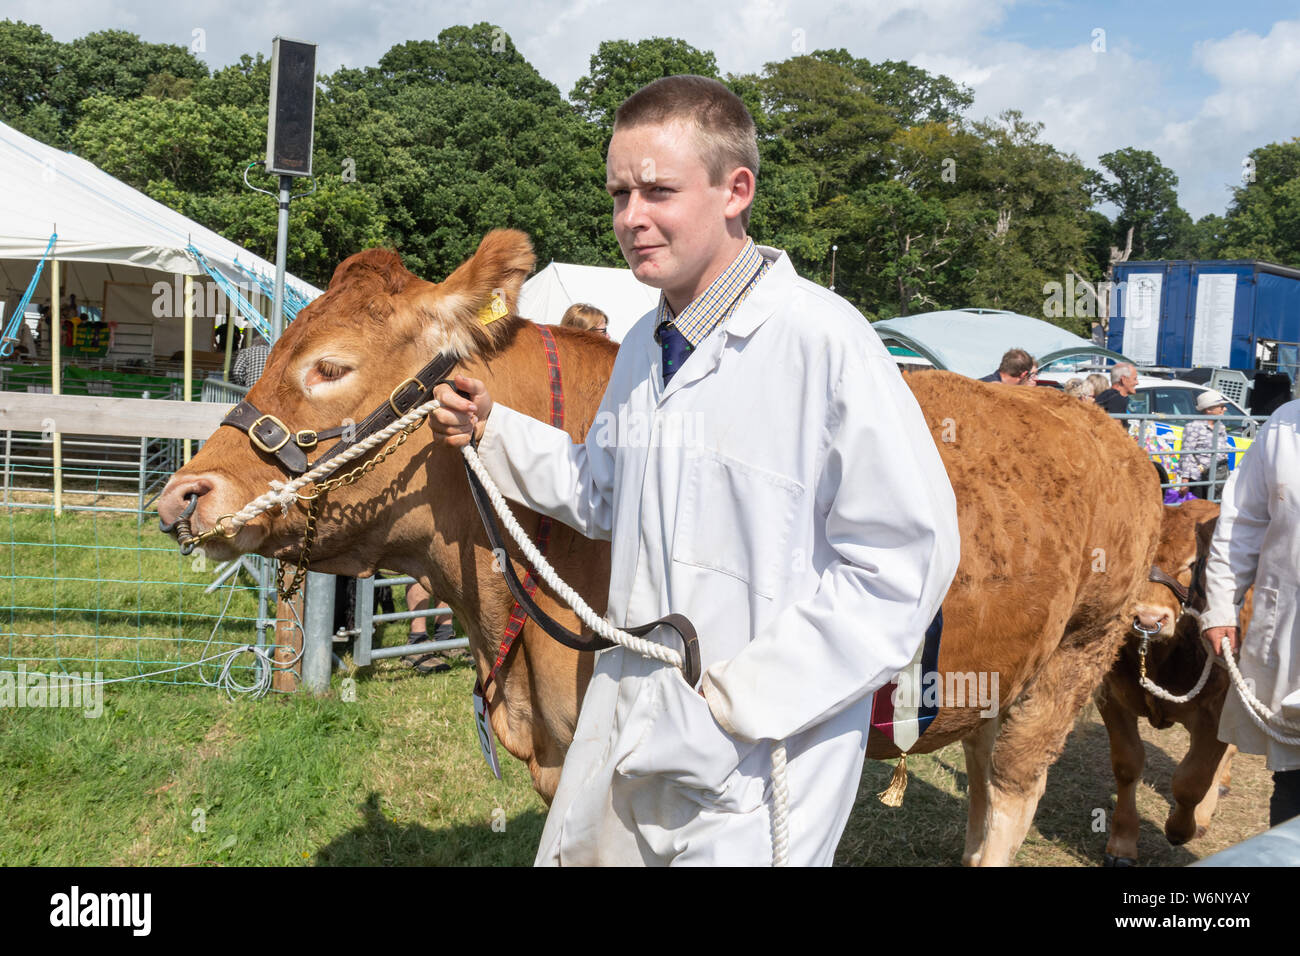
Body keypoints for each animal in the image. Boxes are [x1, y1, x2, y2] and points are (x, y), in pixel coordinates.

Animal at [1097, 502, 1248, 868]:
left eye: (1193, 563)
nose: (1148, 619)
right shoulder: (1110, 697)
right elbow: (1127, 764)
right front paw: (1122, 844)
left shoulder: (1215, 711)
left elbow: (1192, 781)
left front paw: (1181, 829)